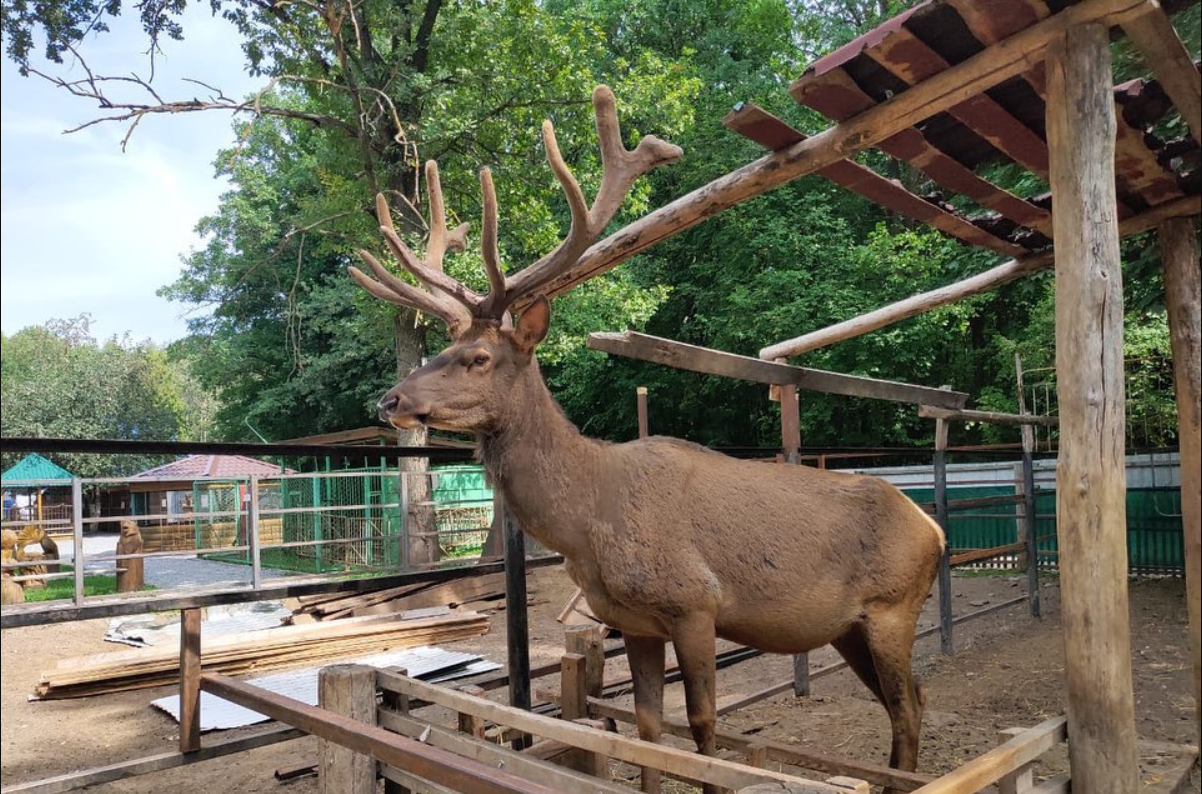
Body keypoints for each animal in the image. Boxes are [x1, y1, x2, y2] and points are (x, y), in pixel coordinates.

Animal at [350, 86, 947, 792]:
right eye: (442, 349)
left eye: (476, 358)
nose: (390, 401)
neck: (587, 525)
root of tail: (934, 528)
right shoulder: (632, 623)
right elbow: (647, 731)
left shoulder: (695, 604)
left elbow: (703, 730)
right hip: (850, 627)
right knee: (908, 699)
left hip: (892, 606)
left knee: (909, 705)